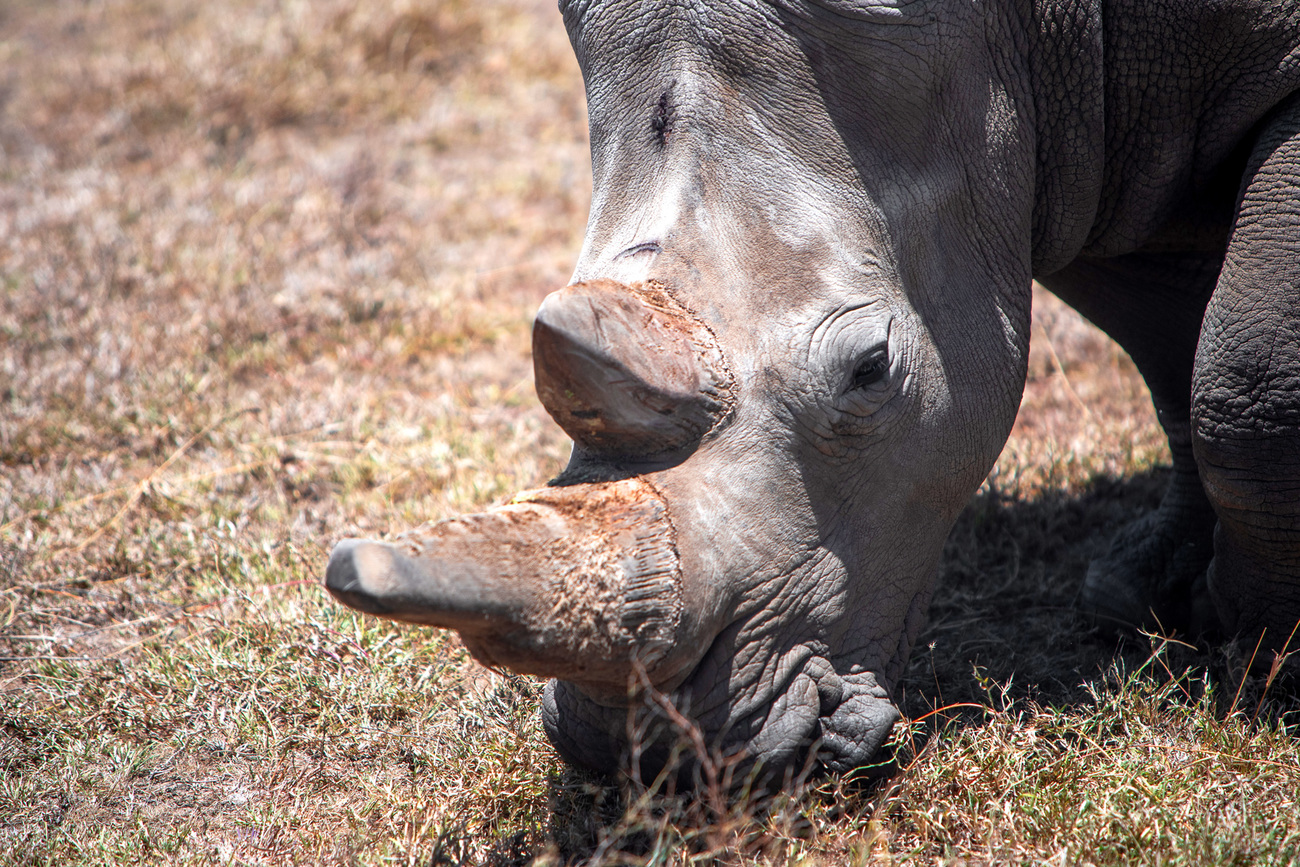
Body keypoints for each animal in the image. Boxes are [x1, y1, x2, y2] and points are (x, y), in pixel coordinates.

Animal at [325, 0, 1300, 779]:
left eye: (870, 368)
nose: (653, 760)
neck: (1015, 30)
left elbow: (1245, 375)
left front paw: (1257, 647)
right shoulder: (1090, 138)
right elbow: (1168, 348)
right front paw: (1143, 593)